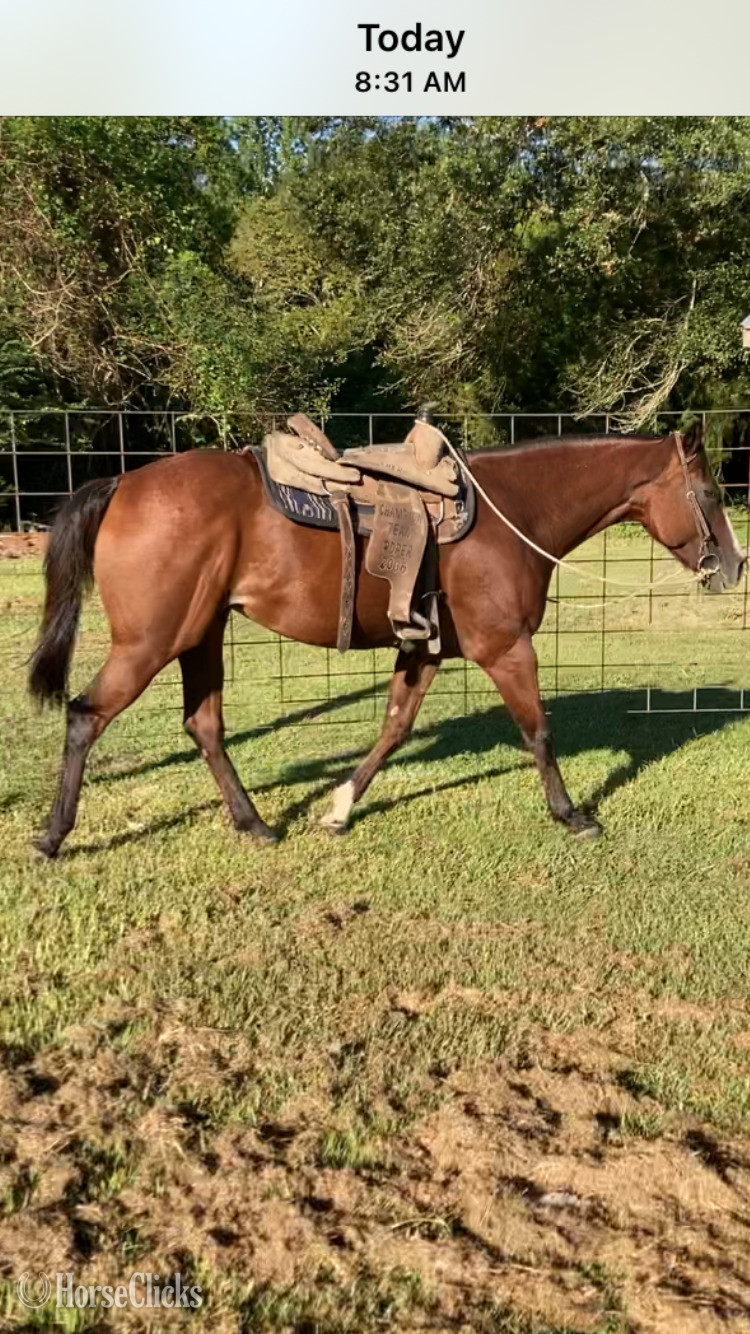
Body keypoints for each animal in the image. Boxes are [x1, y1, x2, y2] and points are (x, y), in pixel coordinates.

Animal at [28, 423, 744, 857]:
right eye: (710, 492)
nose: (733, 568)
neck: (515, 511)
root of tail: (125, 483)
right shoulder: (506, 649)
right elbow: (538, 732)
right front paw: (572, 814)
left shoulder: (422, 649)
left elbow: (394, 728)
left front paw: (340, 807)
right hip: (149, 643)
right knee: (85, 715)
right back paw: (53, 835)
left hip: (199, 637)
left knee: (203, 726)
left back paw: (255, 823)